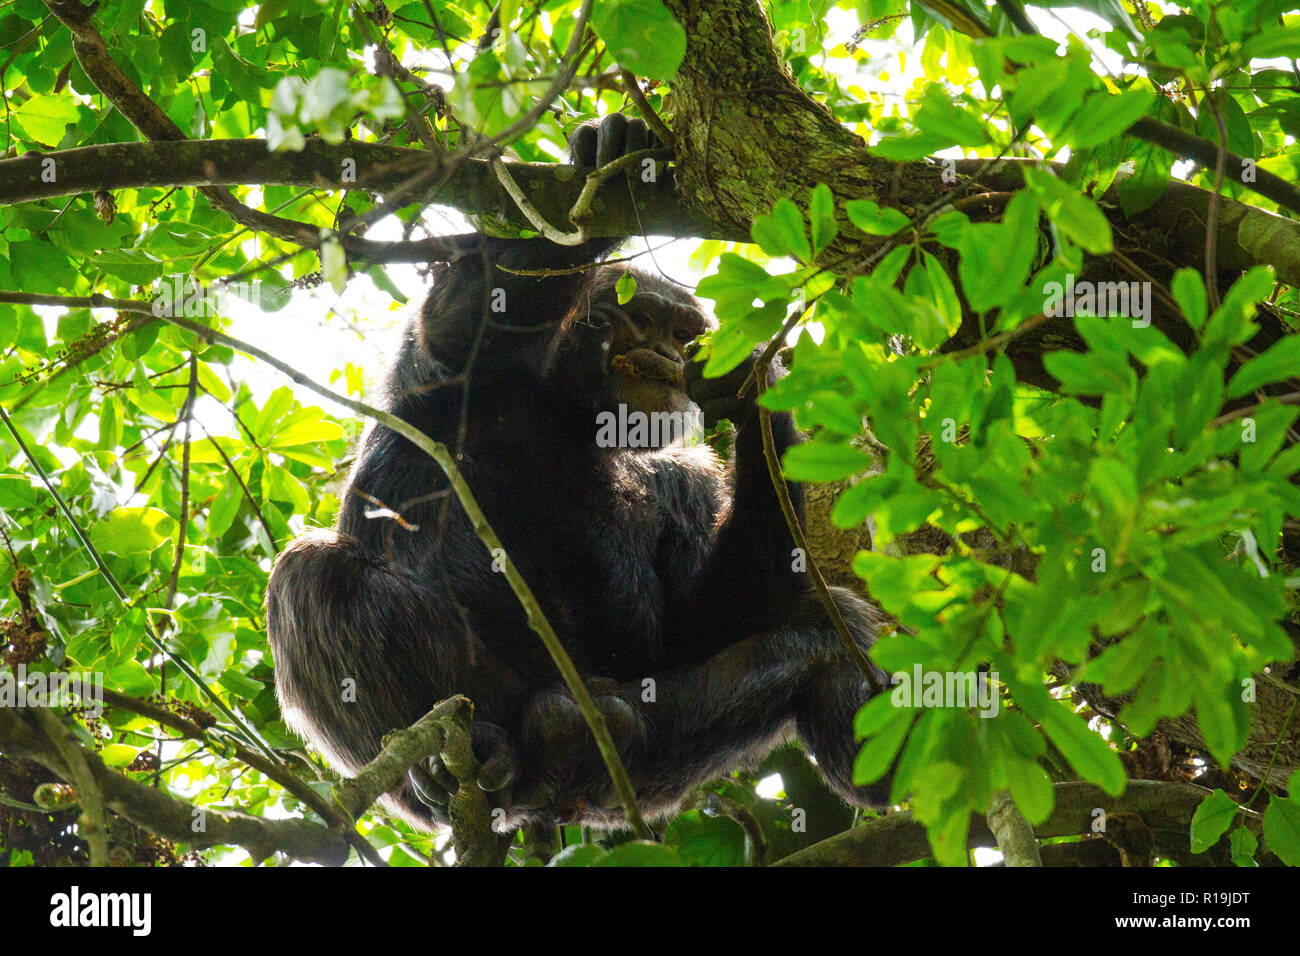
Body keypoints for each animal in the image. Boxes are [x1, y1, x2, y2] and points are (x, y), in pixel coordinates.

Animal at [263, 113, 894, 832]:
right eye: (640, 318)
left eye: (683, 333)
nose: (662, 352)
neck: (568, 408)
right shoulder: (442, 368)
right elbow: (459, 315)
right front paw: (603, 155)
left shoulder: (691, 483)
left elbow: (705, 621)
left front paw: (753, 381)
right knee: (314, 578)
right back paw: (476, 760)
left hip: (655, 758)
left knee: (825, 623)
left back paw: (870, 772)